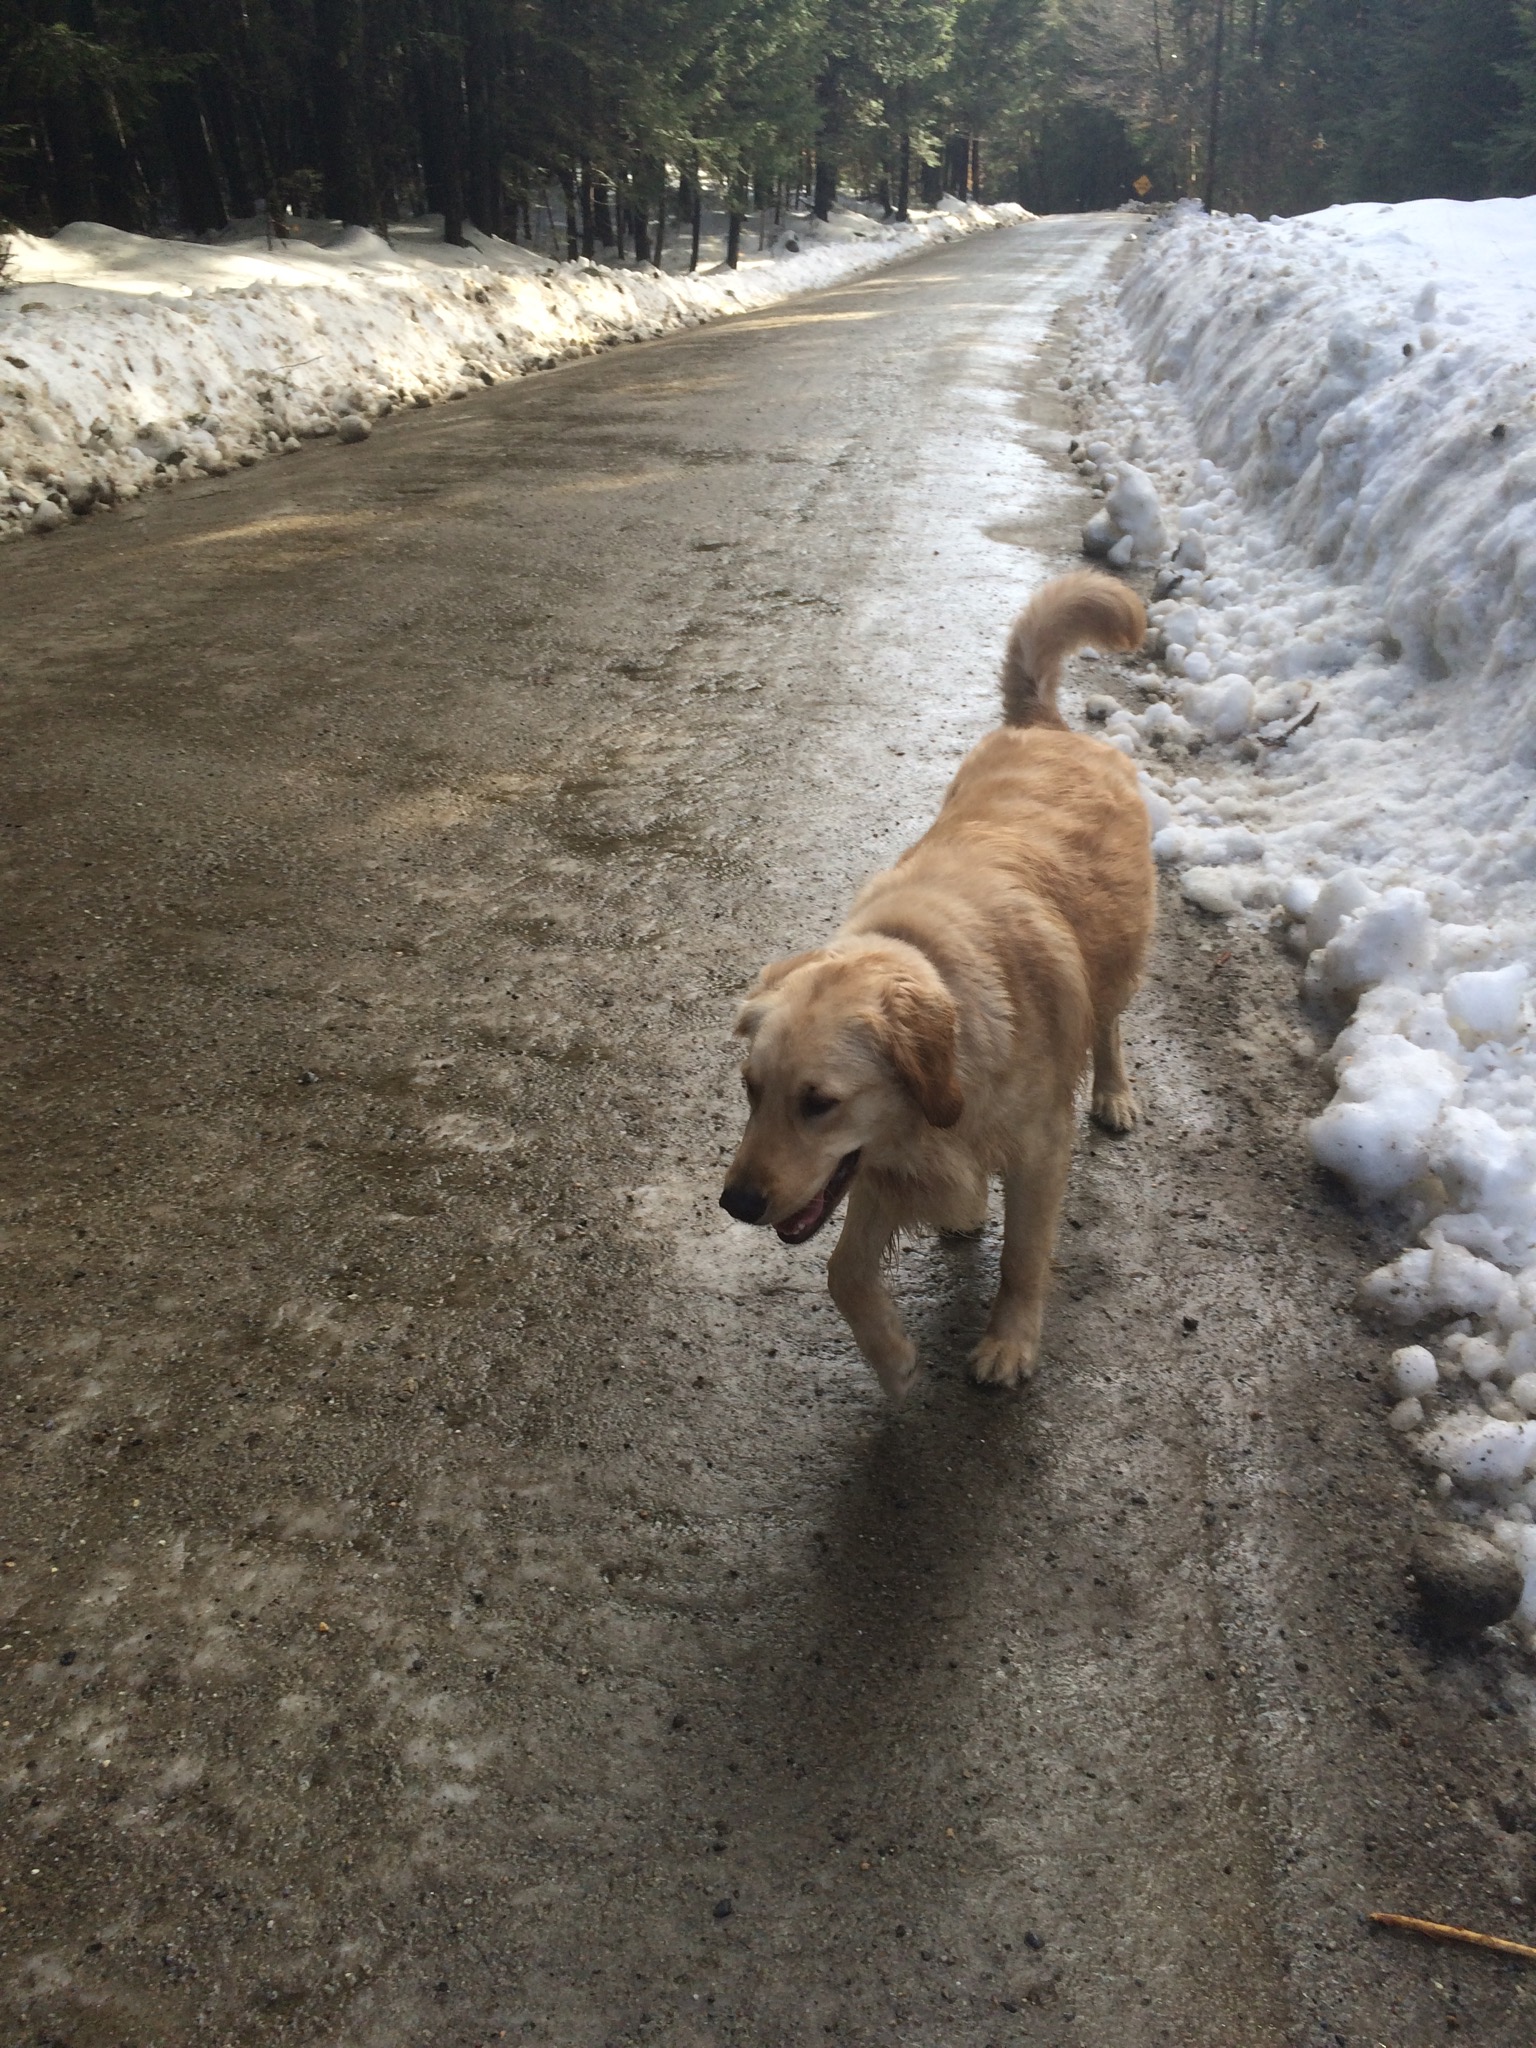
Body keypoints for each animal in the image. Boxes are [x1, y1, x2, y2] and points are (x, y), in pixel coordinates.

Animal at [719, 571, 1154, 1400]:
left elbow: (1022, 1258)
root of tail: (1042, 724)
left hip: (1120, 958)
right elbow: (843, 1272)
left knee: (1111, 1024)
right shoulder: (877, 1165)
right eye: (751, 1091)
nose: (736, 1203)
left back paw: (1114, 1093)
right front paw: (892, 1360)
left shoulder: (1039, 1151)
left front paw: (1008, 1344)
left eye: (818, 1103)